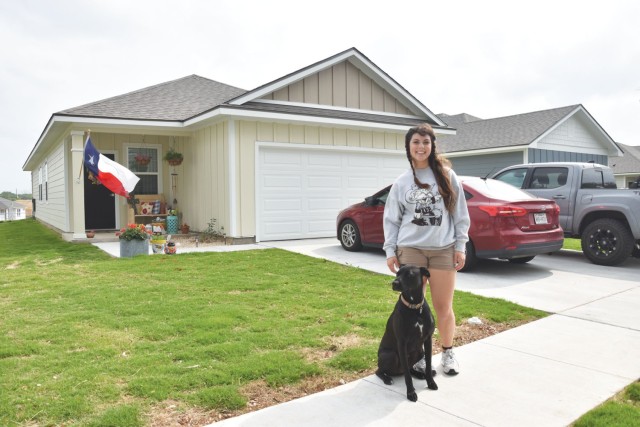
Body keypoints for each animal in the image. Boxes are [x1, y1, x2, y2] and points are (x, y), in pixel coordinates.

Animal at [378, 266, 438, 402]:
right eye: (397, 273)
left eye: (410, 275)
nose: (394, 283)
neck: (414, 308)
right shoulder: (402, 343)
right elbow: (407, 376)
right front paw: (410, 393)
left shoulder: (428, 340)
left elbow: (428, 365)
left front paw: (430, 382)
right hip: (390, 355)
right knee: (379, 370)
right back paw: (387, 378)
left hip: (420, 352)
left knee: (410, 369)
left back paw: (420, 374)